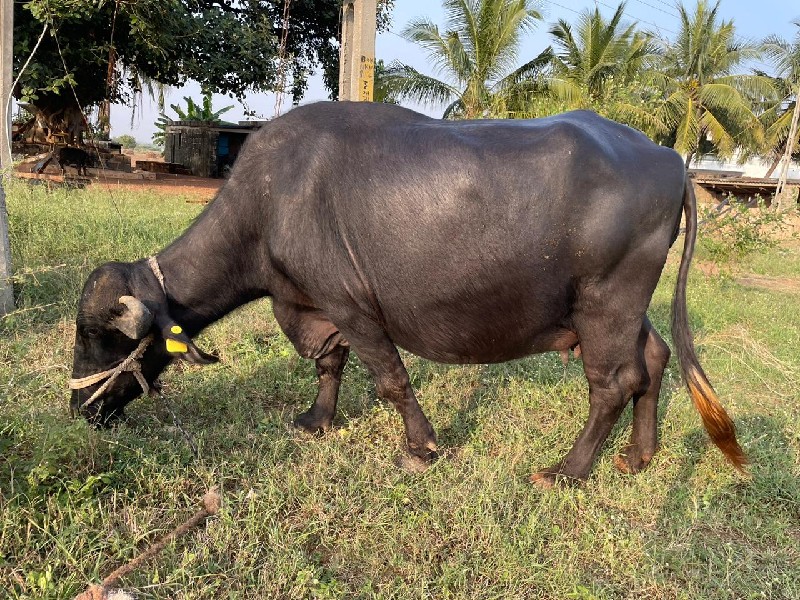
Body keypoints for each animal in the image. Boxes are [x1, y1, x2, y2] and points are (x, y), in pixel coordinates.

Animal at [72, 102, 748, 488]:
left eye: (100, 336)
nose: (80, 409)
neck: (269, 204)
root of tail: (669, 159)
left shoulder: (351, 306)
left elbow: (390, 379)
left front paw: (420, 448)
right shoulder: (316, 306)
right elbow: (329, 364)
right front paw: (317, 420)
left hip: (606, 302)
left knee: (611, 384)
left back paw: (567, 471)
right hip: (622, 306)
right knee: (653, 360)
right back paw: (638, 456)